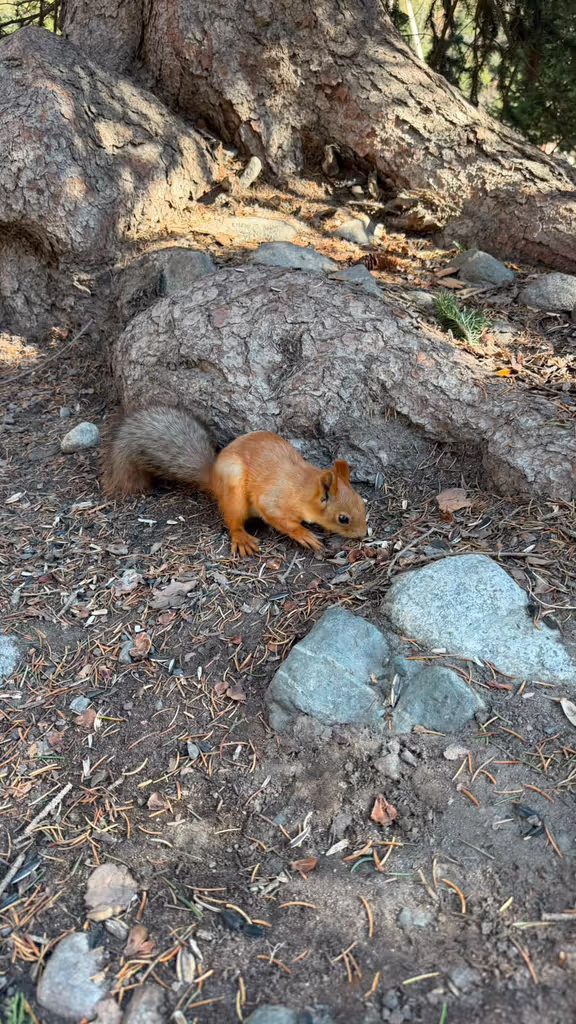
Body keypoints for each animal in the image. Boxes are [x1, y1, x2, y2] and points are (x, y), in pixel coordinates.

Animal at [102, 405, 367, 557]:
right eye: (343, 518)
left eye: (363, 505)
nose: (363, 535)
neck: (303, 486)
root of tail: (213, 476)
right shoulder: (274, 500)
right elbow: (278, 517)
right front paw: (303, 534)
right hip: (234, 489)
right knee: (233, 521)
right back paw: (241, 537)